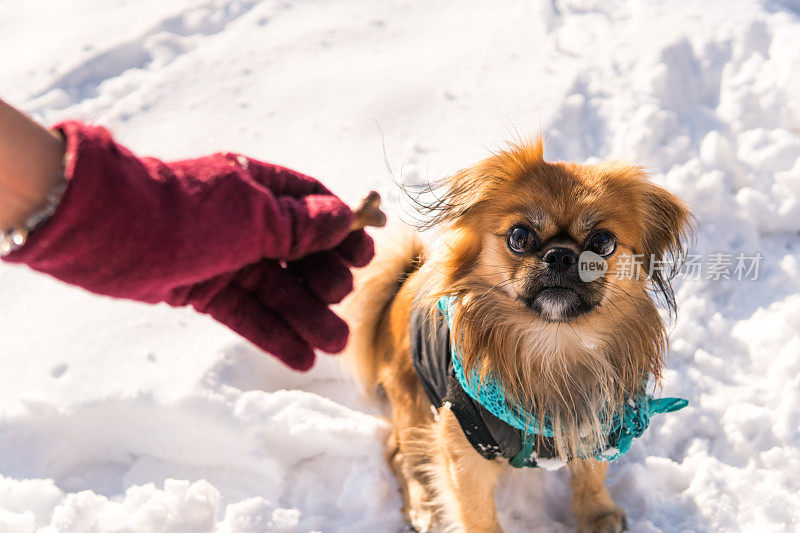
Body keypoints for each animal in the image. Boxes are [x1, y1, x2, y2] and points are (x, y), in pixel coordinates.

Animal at [342, 140, 688, 532]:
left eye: (603, 242)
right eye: (520, 237)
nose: (561, 255)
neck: (554, 346)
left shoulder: (598, 422)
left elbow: (591, 475)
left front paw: (598, 514)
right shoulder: (465, 451)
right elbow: (477, 515)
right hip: (413, 402)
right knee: (402, 456)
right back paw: (424, 508)